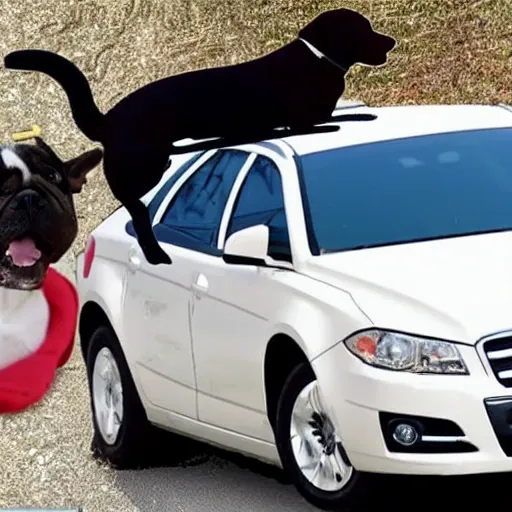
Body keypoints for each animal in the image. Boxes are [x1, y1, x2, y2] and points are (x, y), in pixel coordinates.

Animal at [5, 8, 396, 266]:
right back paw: (155, 252)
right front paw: (359, 115)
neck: (316, 59)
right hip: (143, 167)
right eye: (363, 29)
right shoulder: (305, 119)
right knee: (137, 209)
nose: (391, 40)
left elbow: (344, 111)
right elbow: (334, 118)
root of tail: (108, 121)